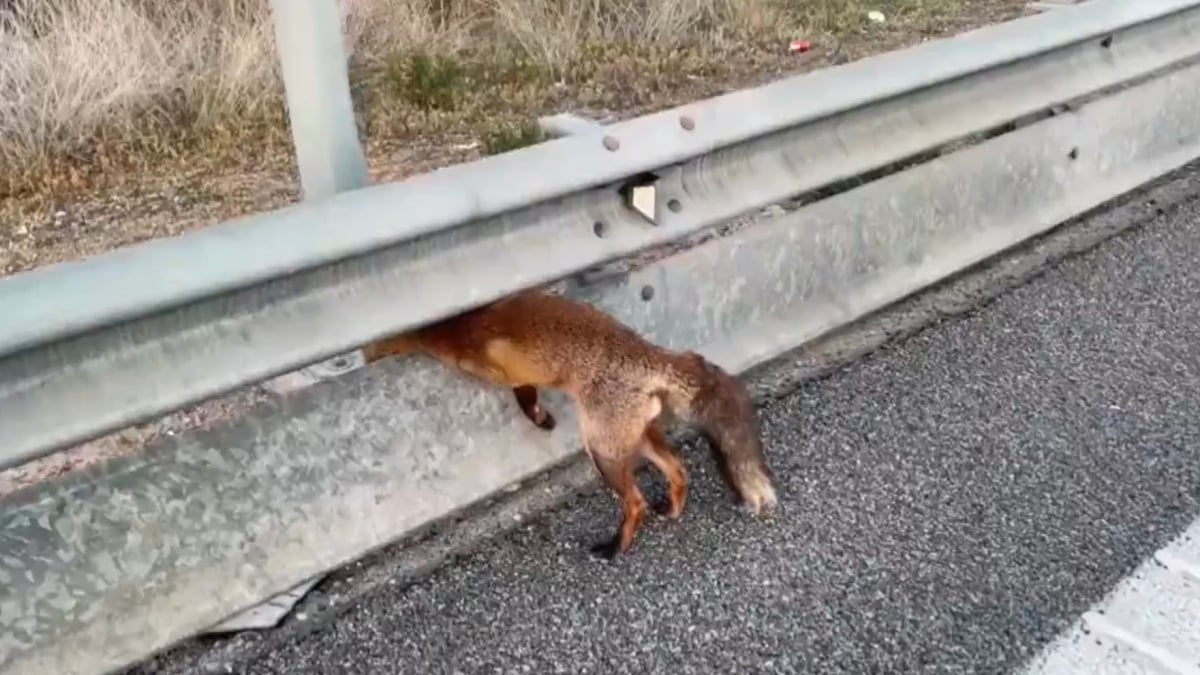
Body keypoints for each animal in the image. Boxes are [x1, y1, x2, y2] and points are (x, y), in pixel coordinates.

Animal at [362, 289, 777, 557]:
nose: (363, 358)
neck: (459, 325)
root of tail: (651, 355)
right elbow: (527, 397)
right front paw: (542, 419)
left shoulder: (496, 369)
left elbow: (521, 394)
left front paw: (537, 417)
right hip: (635, 439)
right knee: (679, 471)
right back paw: (672, 511)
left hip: (601, 449)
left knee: (637, 503)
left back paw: (615, 549)